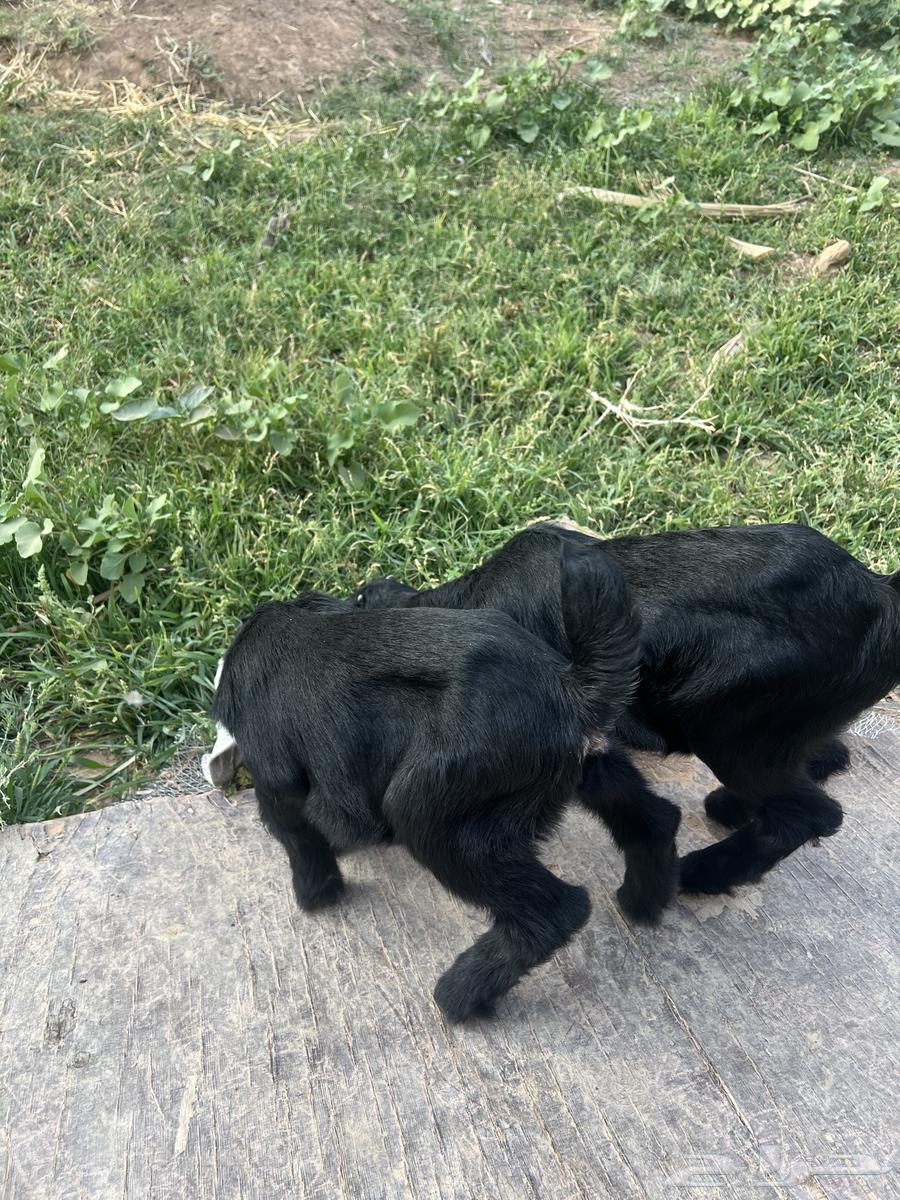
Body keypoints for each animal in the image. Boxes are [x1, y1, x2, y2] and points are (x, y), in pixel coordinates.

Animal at [212, 537, 644, 1021]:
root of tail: (573, 691)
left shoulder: (275, 777)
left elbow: (298, 834)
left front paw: (315, 894)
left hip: (437, 815)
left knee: (557, 909)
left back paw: (462, 992)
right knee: (653, 817)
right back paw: (650, 895)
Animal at [354, 521, 900, 897]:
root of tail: (879, 590)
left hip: (729, 730)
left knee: (812, 814)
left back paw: (707, 870)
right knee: (824, 759)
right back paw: (734, 808)